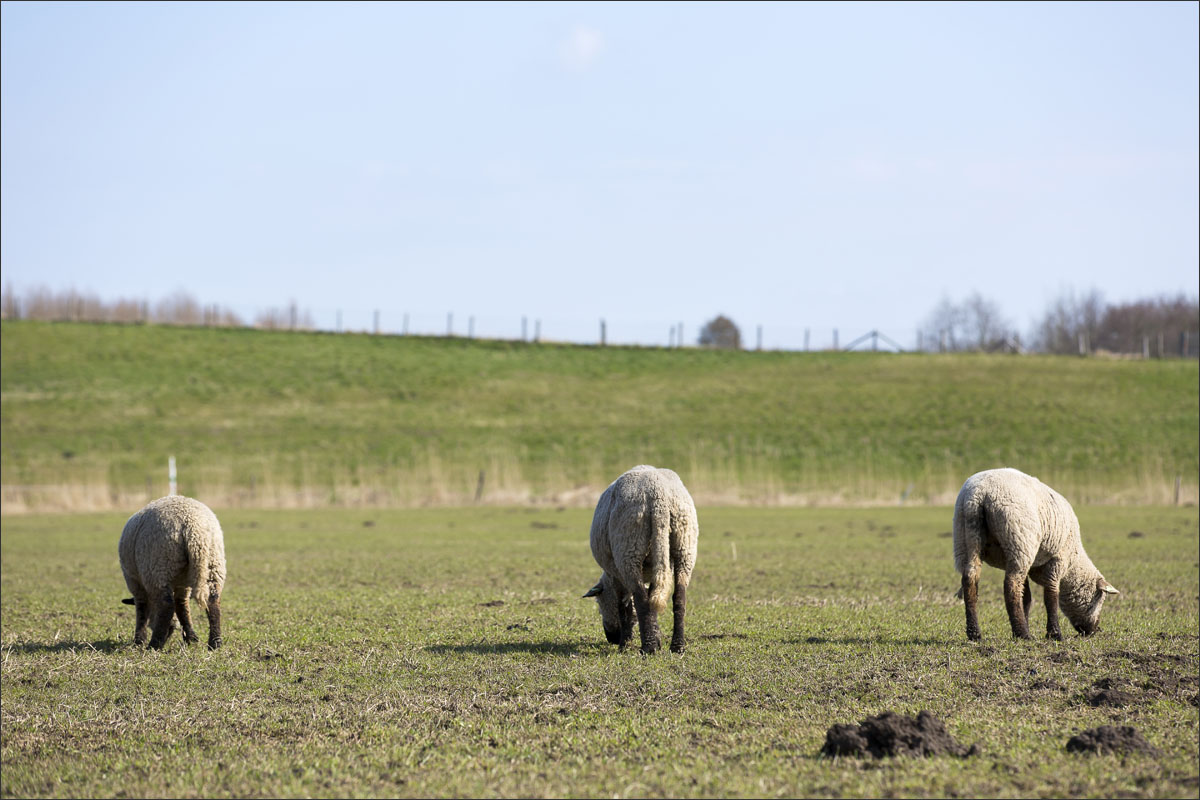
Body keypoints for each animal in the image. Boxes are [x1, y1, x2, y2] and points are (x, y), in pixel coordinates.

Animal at [119, 494, 226, 652]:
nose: (169, 632)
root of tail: (193, 527)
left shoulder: (134, 581)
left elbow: (142, 610)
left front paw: (139, 640)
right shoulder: (182, 584)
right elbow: (182, 606)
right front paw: (191, 638)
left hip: (158, 567)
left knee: (166, 605)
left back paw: (154, 644)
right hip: (213, 565)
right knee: (212, 601)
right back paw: (215, 643)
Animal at [578, 465, 696, 652]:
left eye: (599, 605)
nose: (611, 638)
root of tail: (658, 496)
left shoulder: (615, 575)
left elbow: (624, 606)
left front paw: (625, 644)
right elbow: (651, 600)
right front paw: (657, 638)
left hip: (628, 549)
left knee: (641, 599)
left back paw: (648, 647)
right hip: (685, 546)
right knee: (679, 597)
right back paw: (677, 646)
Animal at [950, 470, 1118, 642]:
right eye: (1100, 599)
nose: (1094, 630)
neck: (1073, 563)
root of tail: (979, 493)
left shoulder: (1031, 565)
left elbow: (1027, 597)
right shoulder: (1058, 559)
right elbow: (1051, 595)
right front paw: (1054, 633)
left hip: (966, 538)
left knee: (970, 579)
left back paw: (975, 633)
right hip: (1019, 542)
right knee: (1011, 587)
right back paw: (1022, 632)